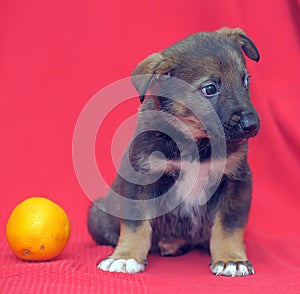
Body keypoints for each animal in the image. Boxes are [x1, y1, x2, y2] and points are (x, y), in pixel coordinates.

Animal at [87, 27, 260, 276]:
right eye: (210, 89)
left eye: (246, 80)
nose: (251, 125)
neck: (197, 143)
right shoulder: (141, 178)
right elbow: (135, 225)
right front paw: (126, 256)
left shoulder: (235, 180)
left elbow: (228, 226)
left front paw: (232, 259)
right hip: (97, 215)